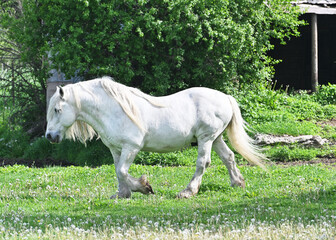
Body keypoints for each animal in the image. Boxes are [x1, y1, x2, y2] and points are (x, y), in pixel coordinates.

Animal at [45, 77, 266, 199]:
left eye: (57, 109)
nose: (49, 136)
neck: (114, 110)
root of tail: (226, 97)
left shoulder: (131, 147)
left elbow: (123, 171)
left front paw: (144, 187)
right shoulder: (116, 149)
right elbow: (118, 171)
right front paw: (122, 194)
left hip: (206, 138)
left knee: (203, 163)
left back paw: (188, 191)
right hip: (216, 138)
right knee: (229, 157)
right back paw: (237, 183)